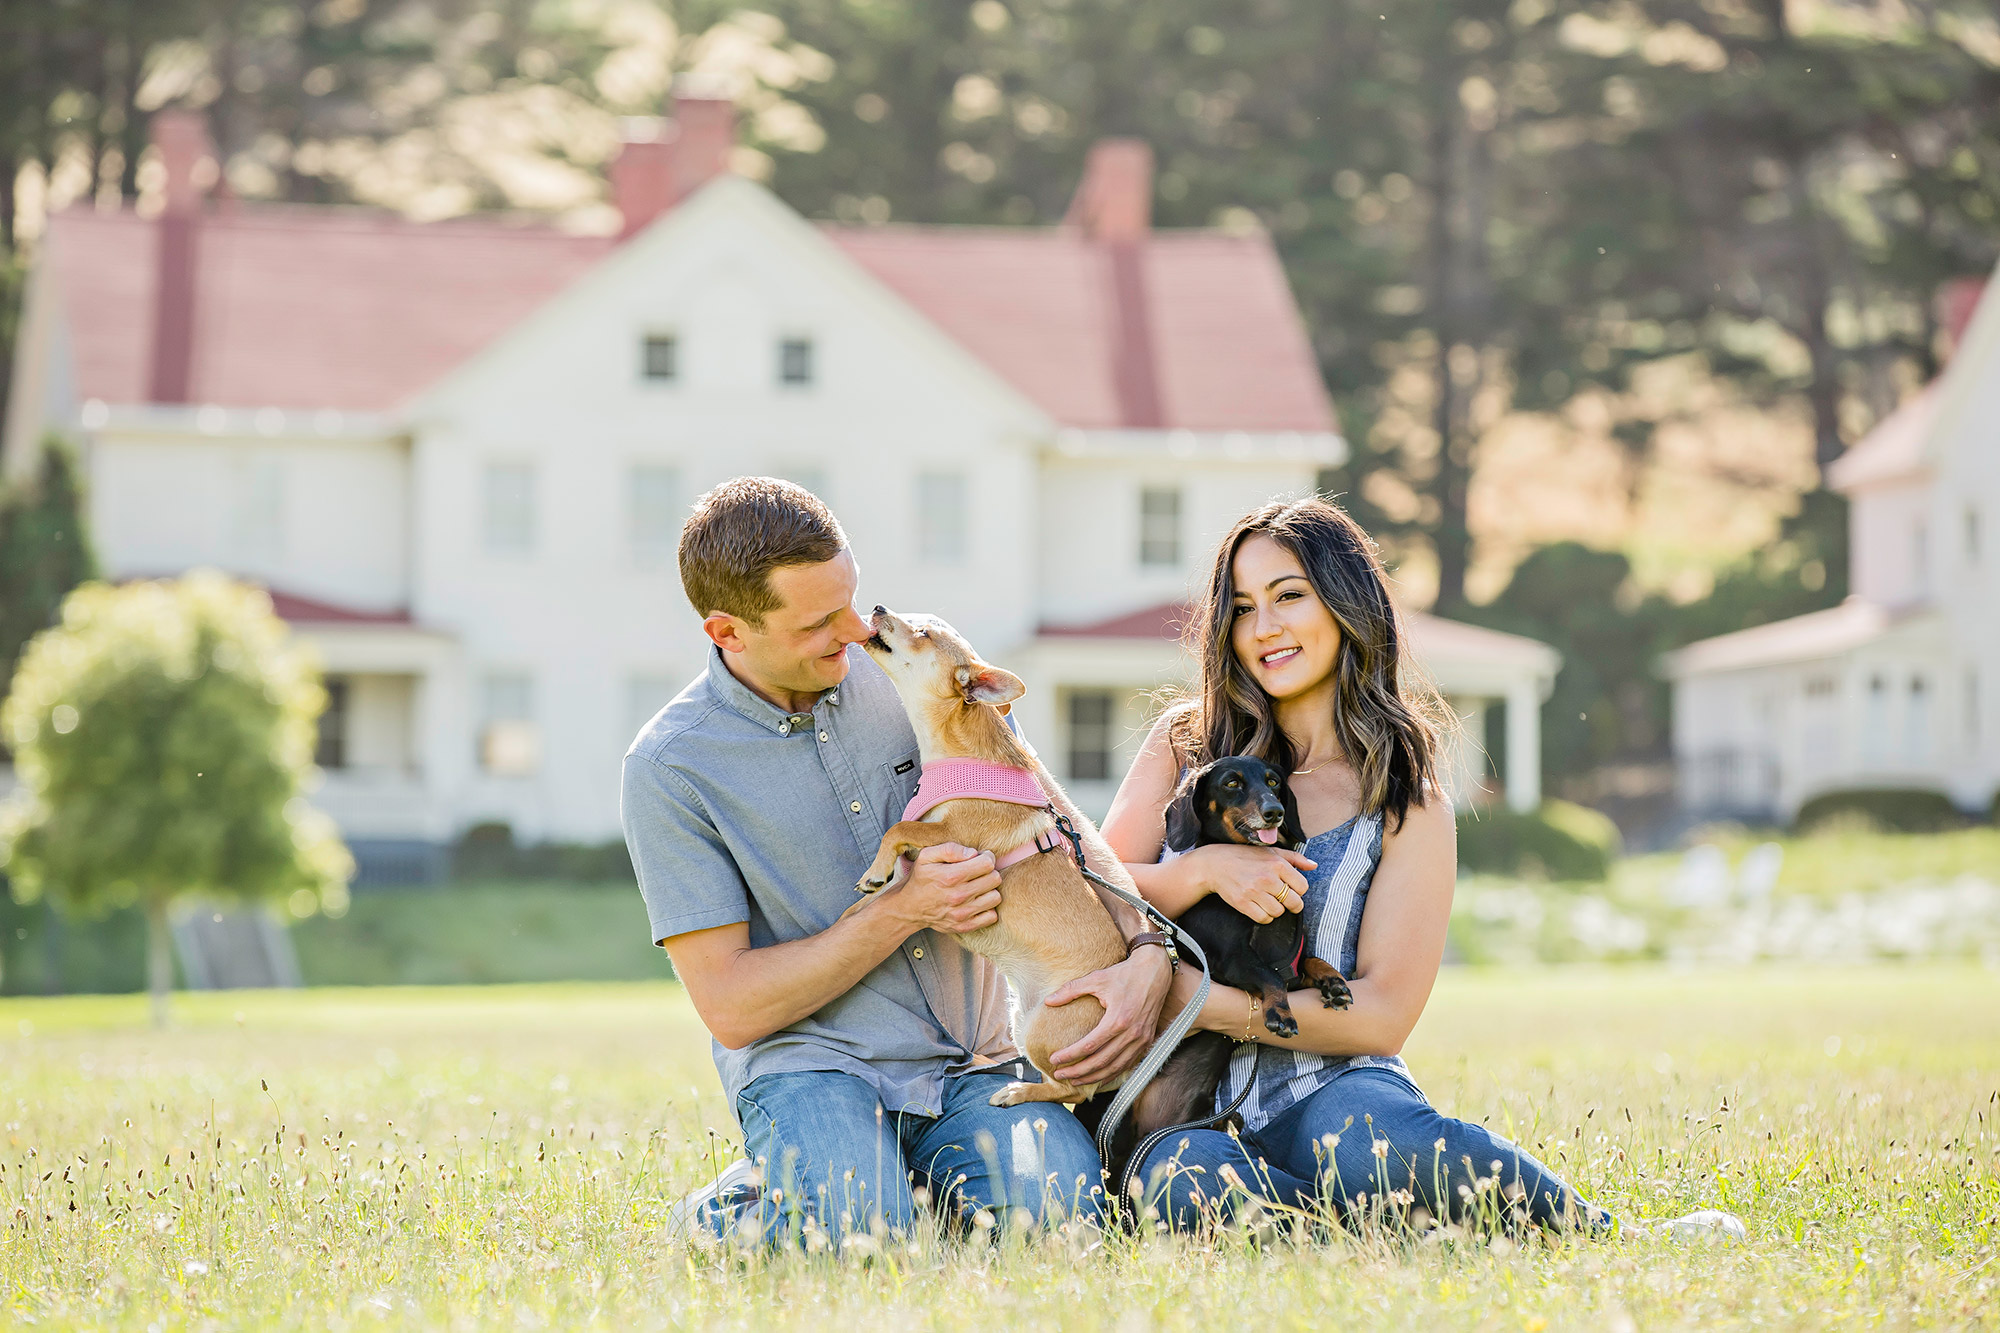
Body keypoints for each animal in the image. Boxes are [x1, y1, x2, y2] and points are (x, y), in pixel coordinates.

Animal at [860, 600, 1136, 1096]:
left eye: (923, 633)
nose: (877, 606)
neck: (955, 755)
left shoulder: (953, 835)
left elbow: (898, 827)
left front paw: (875, 870)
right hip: (1021, 1020)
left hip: (1043, 1029)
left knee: (1069, 1088)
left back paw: (1020, 1092)